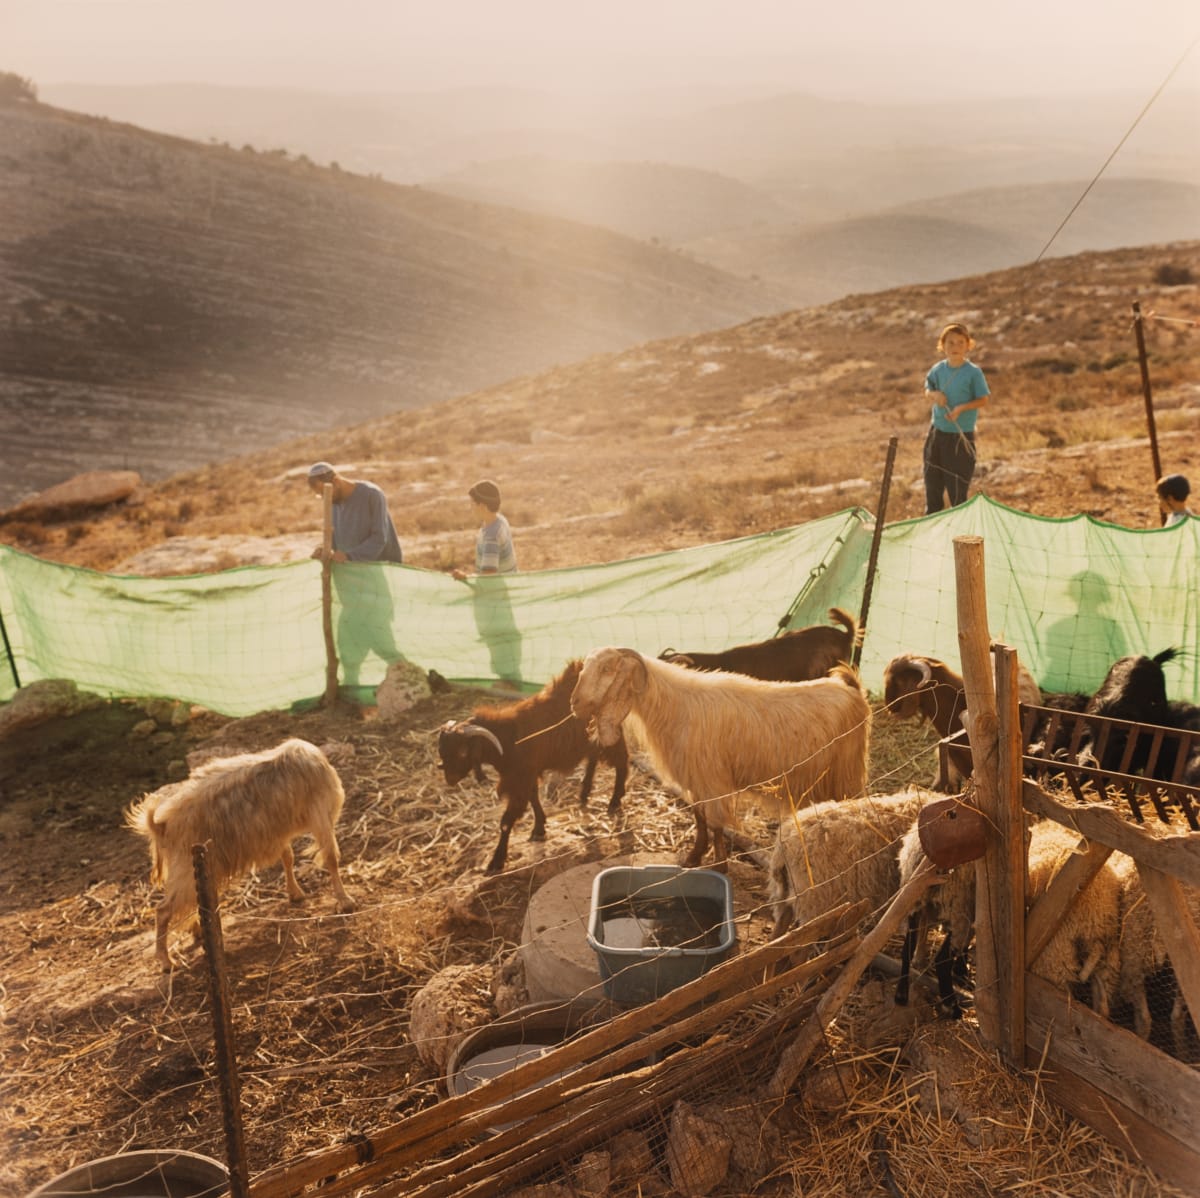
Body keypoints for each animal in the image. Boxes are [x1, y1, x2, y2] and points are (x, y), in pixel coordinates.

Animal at [123, 734, 352, 969]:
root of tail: (161, 824)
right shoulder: (320, 814)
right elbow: (331, 857)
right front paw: (345, 901)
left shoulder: (279, 832)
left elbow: (288, 857)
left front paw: (295, 894)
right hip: (186, 868)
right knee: (163, 910)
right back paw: (166, 960)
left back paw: (197, 931)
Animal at [439, 662, 628, 878]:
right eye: (442, 750)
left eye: (463, 752)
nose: (450, 778)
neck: (508, 739)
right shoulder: (526, 775)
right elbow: (533, 797)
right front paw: (539, 829)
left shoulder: (520, 778)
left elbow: (507, 821)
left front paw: (496, 862)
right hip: (589, 738)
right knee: (594, 757)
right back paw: (584, 793)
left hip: (610, 732)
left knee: (622, 761)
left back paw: (614, 801)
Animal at [566, 648, 868, 873]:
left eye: (607, 669)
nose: (574, 703)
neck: (675, 706)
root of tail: (852, 688)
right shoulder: (695, 779)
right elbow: (699, 818)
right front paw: (693, 857)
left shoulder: (711, 779)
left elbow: (714, 823)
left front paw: (720, 866)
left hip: (847, 772)